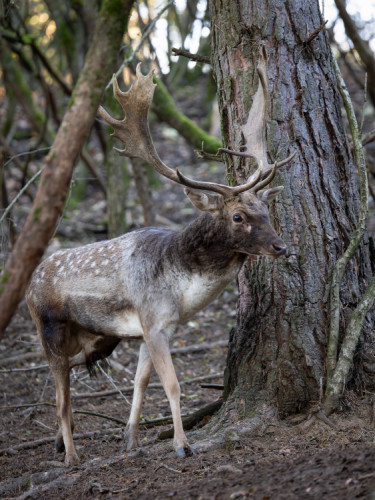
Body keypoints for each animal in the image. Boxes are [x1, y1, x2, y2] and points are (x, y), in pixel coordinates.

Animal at [26, 61, 296, 464]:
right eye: (238, 217)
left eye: (265, 210)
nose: (281, 247)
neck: (181, 287)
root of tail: (30, 283)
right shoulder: (154, 320)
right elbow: (171, 385)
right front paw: (182, 444)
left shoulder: (145, 329)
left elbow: (141, 382)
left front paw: (131, 439)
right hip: (49, 327)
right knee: (60, 390)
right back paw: (71, 456)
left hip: (98, 337)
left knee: (70, 374)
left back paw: (63, 441)